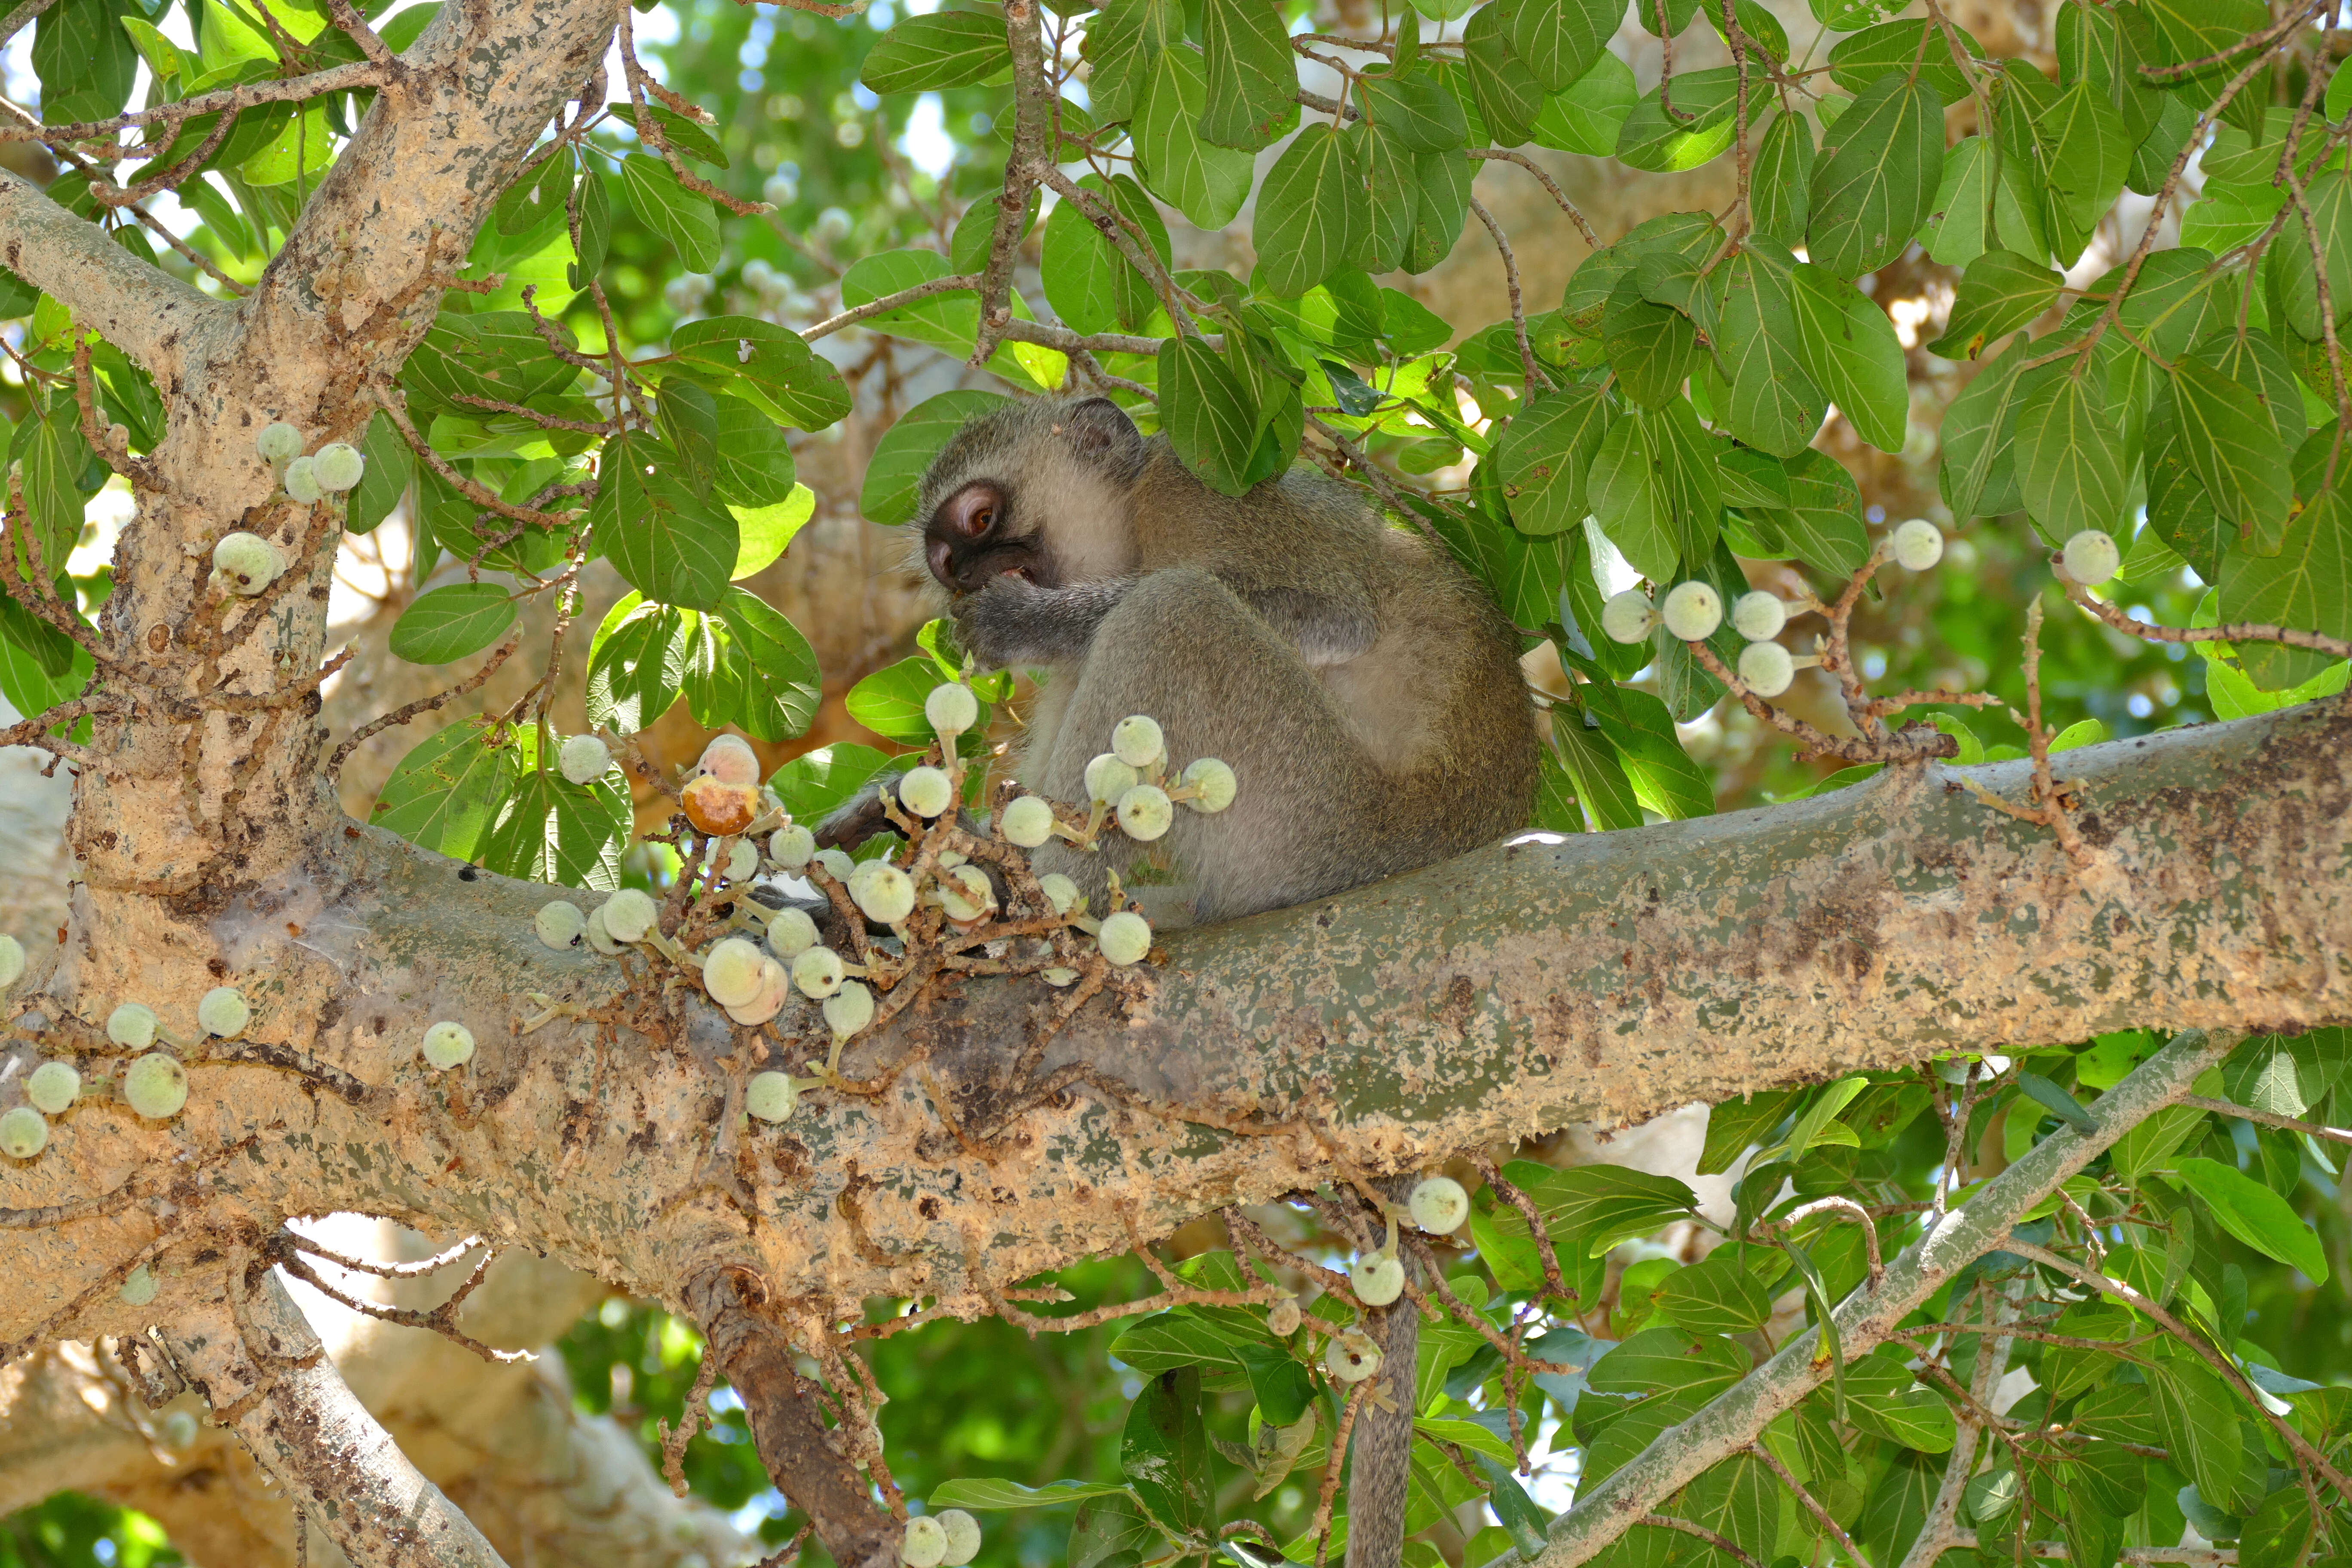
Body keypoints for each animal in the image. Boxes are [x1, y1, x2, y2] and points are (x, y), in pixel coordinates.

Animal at [833, 395, 1543, 931]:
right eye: (947, 564)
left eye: (981, 517)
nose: (967, 578)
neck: (1135, 524)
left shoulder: (1201, 492)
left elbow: (1339, 619)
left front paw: (1030, 621)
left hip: (1322, 827)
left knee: (1173, 609)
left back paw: (1032, 908)